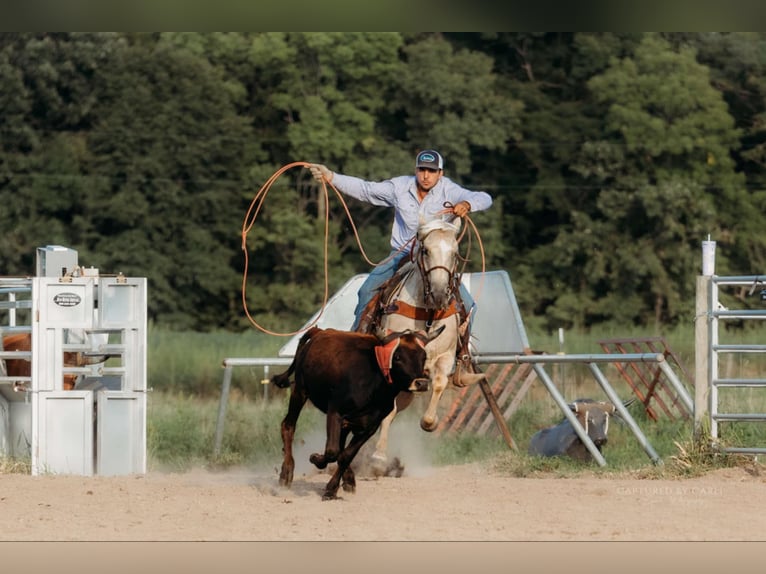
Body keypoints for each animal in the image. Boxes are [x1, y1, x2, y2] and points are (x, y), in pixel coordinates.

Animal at [274, 326, 444, 502]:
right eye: (397, 356)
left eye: (424, 356)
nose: (421, 383)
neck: (374, 383)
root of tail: (319, 331)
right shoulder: (335, 412)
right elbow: (332, 451)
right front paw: (316, 459)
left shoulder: (370, 426)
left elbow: (345, 455)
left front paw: (331, 489)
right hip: (300, 390)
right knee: (288, 426)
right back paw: (286, 473)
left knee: (341, 447)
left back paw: (349, 478)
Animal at [366, 218, 486, 470]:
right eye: (425, 250)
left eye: (455, 253)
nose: (440, 294)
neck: (428, 312)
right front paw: (378, 457)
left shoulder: (444, 357)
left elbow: (439, 384)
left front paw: (430, 422)